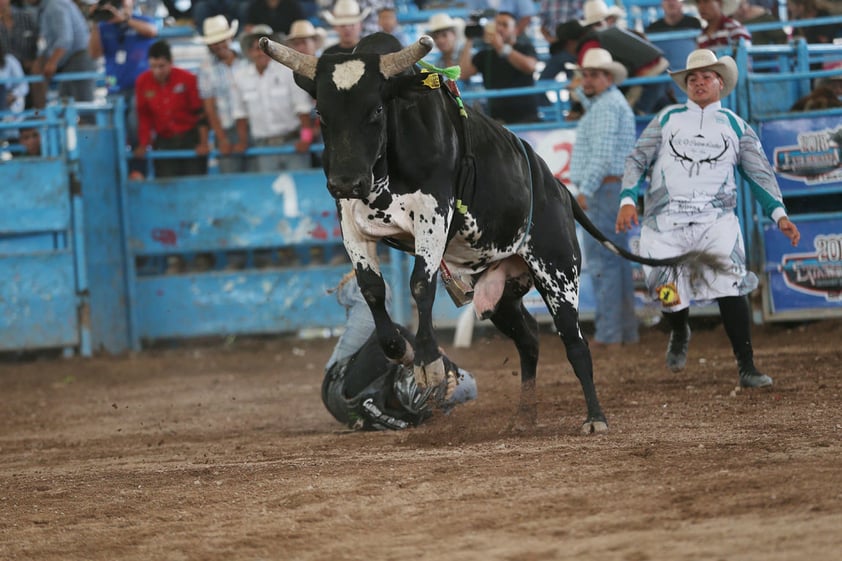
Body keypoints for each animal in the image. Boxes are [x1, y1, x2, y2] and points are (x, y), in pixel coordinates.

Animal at [260, 32, 704, 430]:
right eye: (322, 115)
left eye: (375, 111)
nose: (346, 181)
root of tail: (560, 190)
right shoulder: (352, 222)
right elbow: (372, 289)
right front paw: (397, 347)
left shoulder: (434, 212)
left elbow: (420, 284)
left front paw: (427, 361)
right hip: (500, 295)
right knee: (529, 339)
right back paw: (524, 417)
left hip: (558, 272)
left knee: (575, 344)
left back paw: (595, 417)